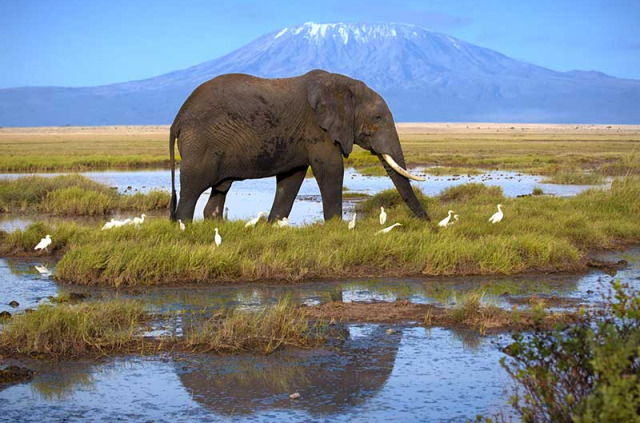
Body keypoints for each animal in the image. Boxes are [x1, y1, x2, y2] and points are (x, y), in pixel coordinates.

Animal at [170, 69, 430, 222]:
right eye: (377, 118)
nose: (429, 224)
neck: (342, 84)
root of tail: (178, 118)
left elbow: (291, 178)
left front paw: (273, 225)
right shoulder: (317, 130)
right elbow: (331, 169)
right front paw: (335, 227)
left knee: (220, 190)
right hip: (201, 143)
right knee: (192, 188)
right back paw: (184, 227)